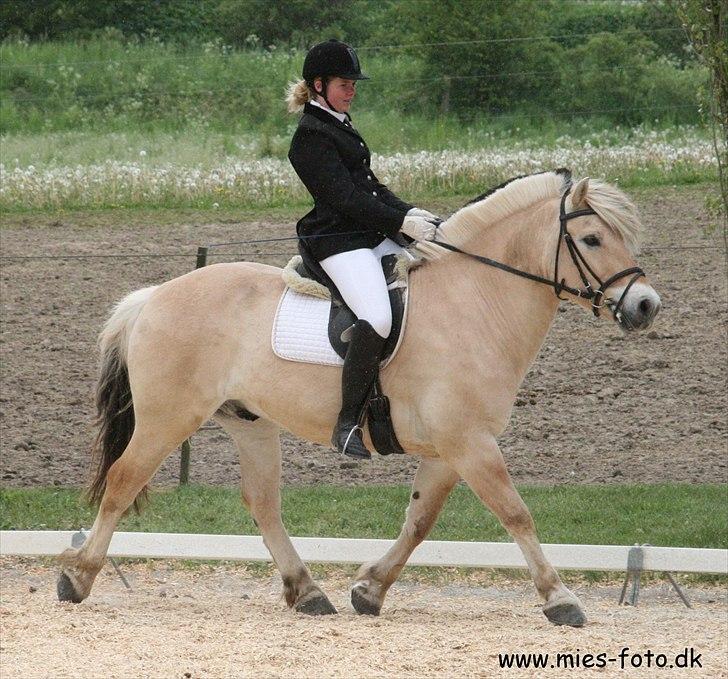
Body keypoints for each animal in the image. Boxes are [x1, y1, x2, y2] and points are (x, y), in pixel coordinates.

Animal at [57, 169, 660, 628]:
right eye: (592, 240)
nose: (645, 306)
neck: (475, 301)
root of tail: (154, 295)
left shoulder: (450, 450)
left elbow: (419, 521)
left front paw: (370, 590)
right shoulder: (469, 442)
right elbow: (516, 513)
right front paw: (561, 599)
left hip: (250, 424)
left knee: (263, 503)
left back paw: (307, 592)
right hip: (168, 418)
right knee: (123, 481)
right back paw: (77, 576)